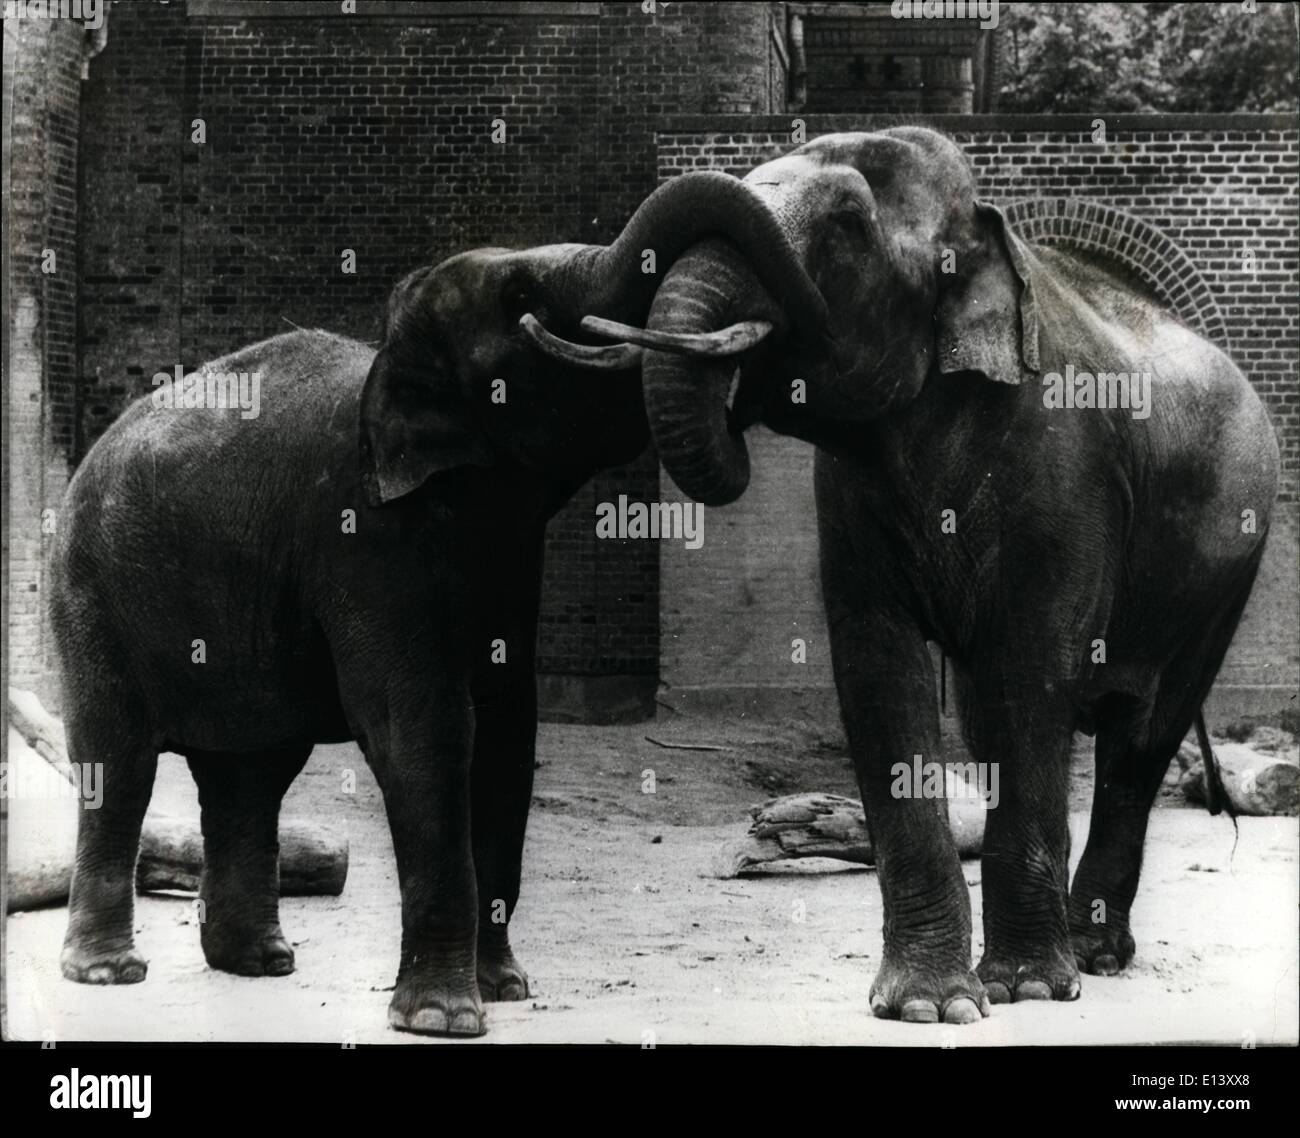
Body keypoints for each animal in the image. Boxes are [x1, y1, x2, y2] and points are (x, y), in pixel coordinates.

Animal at [49, 171, 806, 1037]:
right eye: (522, 298)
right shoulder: (365, 539)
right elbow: (426, 727)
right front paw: (444, 1018)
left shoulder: (506, 554)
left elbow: (509, 728)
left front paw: (506, 990)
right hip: (90, 593)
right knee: (120, 764)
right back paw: (109, 973)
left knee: (252, 773)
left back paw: (262, 963)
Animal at [591, 127, 1279, 1024]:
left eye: (848, 224)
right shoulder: (847, 492)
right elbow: (880, 669)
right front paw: (925, 1006)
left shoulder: (1067, 473)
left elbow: (1030, 671)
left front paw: (1023, 989)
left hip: (1228, 561)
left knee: (1141, 733)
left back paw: (1092, 956)